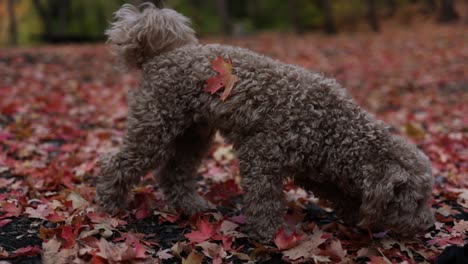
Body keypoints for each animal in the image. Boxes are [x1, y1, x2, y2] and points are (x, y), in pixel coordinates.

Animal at [96, 2, 436, 241]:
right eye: (416, 200)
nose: (430, 225)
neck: (335, 130)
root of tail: (158, 57)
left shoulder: (317, 169)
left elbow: (338, 193)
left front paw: (353, 215)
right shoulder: (262, 156)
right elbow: (264, 200)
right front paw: (270, 234)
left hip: (193, 135)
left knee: (173, 173)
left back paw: (192, 206)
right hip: (154, 129)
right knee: (116, 164)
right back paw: (107, 206)